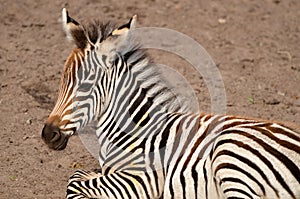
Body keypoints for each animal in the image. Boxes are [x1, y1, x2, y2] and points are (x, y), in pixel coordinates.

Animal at [41, 8, 300, 199]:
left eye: (84, 87)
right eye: (61, 81)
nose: (47, 134)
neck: (133, 129)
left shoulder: (143, 179)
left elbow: (74, 183)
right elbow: (77, 175)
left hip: (230, 152)